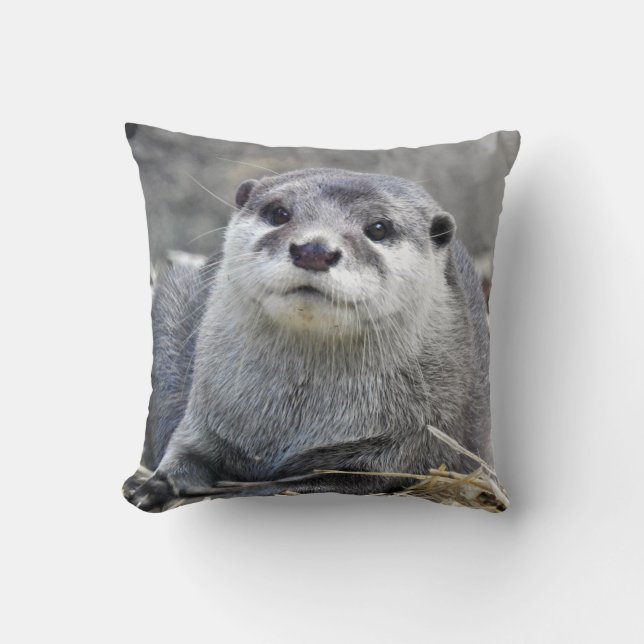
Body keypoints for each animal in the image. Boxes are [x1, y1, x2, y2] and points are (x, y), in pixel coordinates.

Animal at [123, 168, 492, 512]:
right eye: (279, 213)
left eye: (378, 228)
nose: (314, 249)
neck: (293, 423)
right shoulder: (202, 418)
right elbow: (182, 454)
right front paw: (150, 487)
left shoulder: (404, 449)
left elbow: (329, 480)